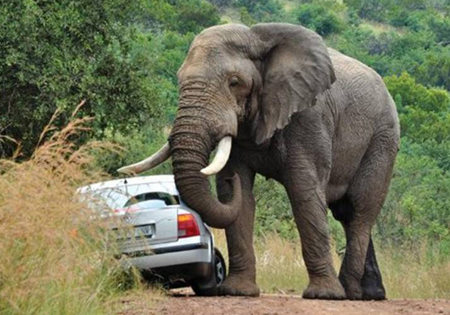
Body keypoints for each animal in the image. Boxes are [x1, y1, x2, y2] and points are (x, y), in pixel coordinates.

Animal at [118, 22, 400, 302]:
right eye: (179, 80)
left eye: (234, 82)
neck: (257, 37)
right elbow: (237, 194)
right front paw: (237, 291)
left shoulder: (309, 116)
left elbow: (303, 191)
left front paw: (324, 295)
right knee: (346, 213)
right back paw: (370, 294)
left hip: (383, 138)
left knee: (361, 208)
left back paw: (349, 292)